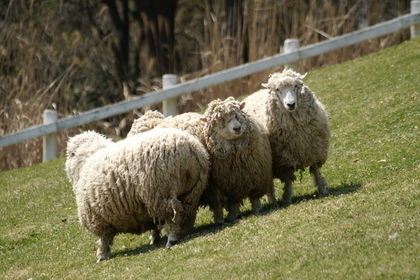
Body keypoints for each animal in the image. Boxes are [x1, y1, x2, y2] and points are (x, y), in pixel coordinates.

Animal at [65, 128, 209, 262]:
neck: (84, 162)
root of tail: (190, 147)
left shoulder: (98, 218)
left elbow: (104, 239)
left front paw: (102, 255)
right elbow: (155, 223)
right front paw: (154, 238)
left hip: (161, 193)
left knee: (171, 215)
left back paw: (171, 239)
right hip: (191, 192)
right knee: (185, 213)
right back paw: (183, 232)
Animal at [128, 97, 276, 224]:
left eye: (237, 115)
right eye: (219, 122)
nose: (237, 128)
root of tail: (146, 119)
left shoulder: (253, 176)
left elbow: (253, 197)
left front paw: (255, 210)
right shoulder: (219, 185)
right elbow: (220, 203)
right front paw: (222, 219)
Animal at [244, 69, 330, 207]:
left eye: (295, 86)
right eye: (278, 89)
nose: (291, 104)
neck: (297, 133)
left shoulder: (315, 152)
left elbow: (316, 171)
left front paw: (323, 189)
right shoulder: (284, 161)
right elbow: (288, 181)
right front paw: (287, 198)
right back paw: (271, 199)